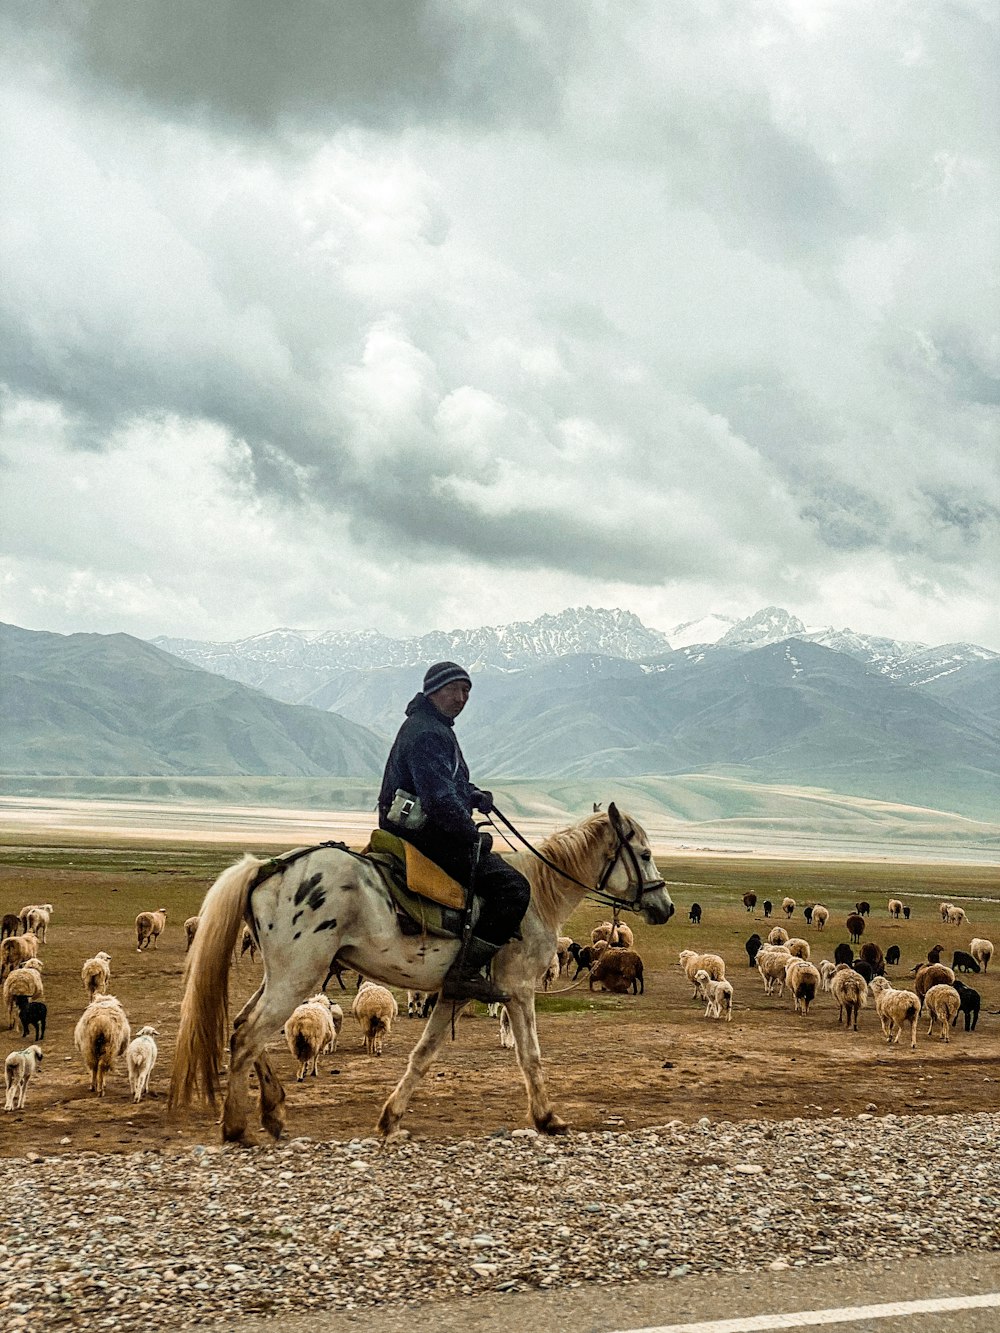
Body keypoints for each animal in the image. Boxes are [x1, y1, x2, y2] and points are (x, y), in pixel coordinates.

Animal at [170, 799, 674, 1146]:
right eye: (645, 853)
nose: (665, 907)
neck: (539, 892)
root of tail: (269, 868)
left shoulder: (455, 990)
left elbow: (423, 1055)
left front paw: (390, 1119)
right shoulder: (518, 988)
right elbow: (530, 1056)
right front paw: (548, 1119)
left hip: (282, 977)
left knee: (243, 1027)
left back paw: (273, 1112)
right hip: (298, 975)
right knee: (248, 1035)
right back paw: (238, 1127)